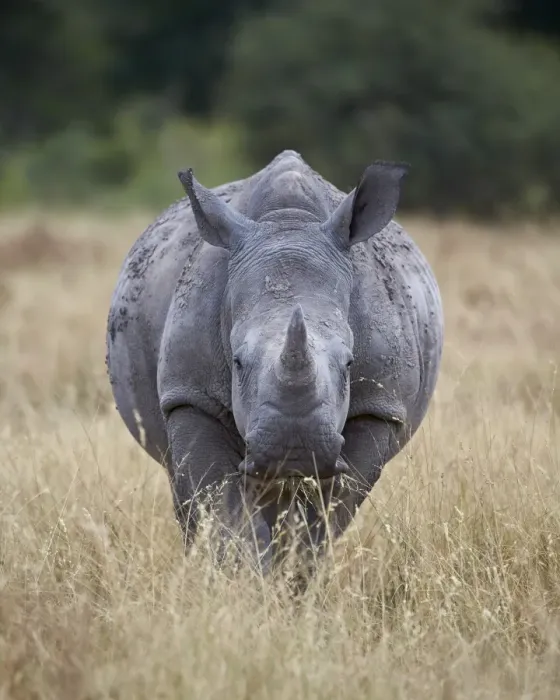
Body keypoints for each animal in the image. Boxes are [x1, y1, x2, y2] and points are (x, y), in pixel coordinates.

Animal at [106, 150, 444, 572]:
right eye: (236, 362)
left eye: (350, 363)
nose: (293, 450)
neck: (288, 223)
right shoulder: (191, 396)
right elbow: (223, 512)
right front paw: (244, 579)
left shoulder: (379, 408)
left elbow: (325, 518)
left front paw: (293, 578)